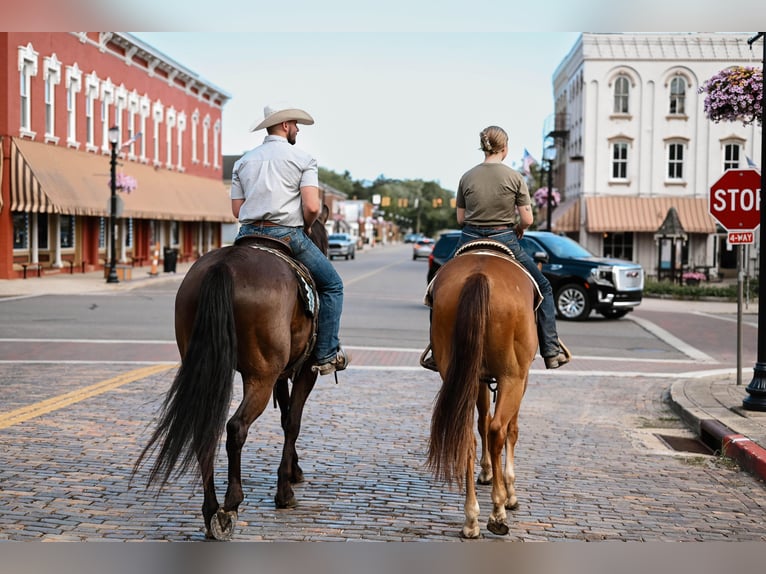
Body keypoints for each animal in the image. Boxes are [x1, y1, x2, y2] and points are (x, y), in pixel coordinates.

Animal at [134, 214, 330, 544]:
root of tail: (224, 266)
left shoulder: (281, 375)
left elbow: (285, 417)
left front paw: (294, 471)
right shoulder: (304, 370)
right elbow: (293, 422)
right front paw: (285, 490)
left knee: (204, 431)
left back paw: (210, 509)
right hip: (260, 376)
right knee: (237, 427)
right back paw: (230, 506)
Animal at [426, 242, 540, 540]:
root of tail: (480, 276)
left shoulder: (476, 378)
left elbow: (481, 421)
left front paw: (487, 472)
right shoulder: (521, 378)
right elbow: (510, 429)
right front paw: (510, 492)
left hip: (457, 369)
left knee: (466, 435)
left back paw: (471, 519)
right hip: (512, 377)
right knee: (499, 430)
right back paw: (497, 512)